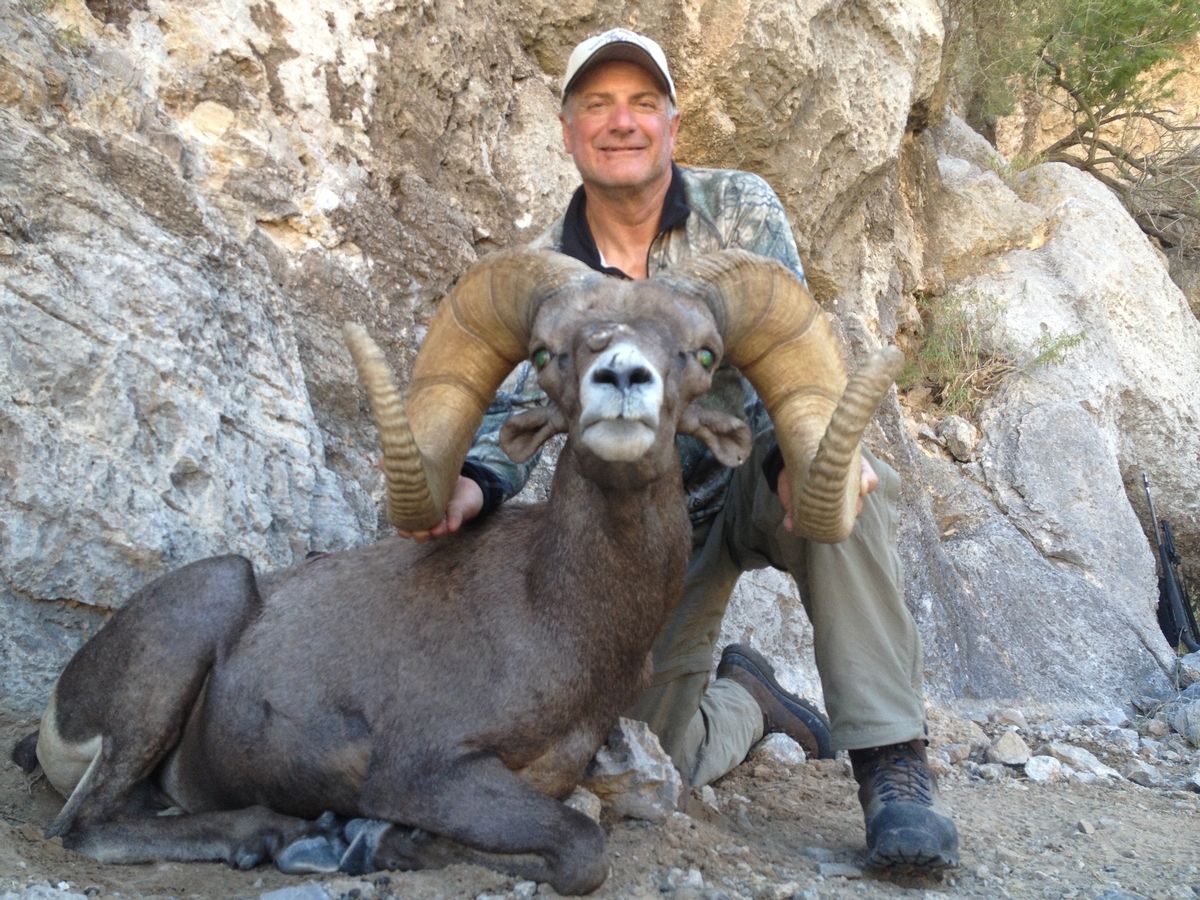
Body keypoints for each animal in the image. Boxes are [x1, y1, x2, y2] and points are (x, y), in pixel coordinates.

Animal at [10, 247, 903, 895]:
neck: (559, 620)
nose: (621, 379)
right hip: (205, 606)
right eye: (548, 351)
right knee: (84, 829)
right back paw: (273, 834)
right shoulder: (427, 772)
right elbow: (581, 851)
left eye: (703, 353)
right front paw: (369, 842)